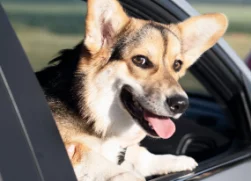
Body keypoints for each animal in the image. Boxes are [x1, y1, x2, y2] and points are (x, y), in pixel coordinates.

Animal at [36, 0, 227, 180]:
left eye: (177, 65)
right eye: (141, 60)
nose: (181, 104)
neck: (90, 111)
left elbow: (141, 155)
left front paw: (176, 160)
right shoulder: (70, 146)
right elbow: (93, 157)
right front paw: (129, 175)